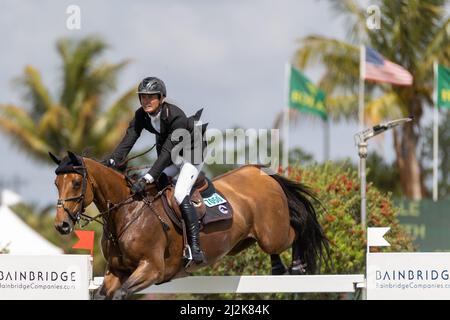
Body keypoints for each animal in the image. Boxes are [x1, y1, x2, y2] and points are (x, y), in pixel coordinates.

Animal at [51, 151, 328, 298]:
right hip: (247, 240)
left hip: (273, 233)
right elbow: (102, 293)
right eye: (56, 183)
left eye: (76, 182)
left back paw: (298, 265)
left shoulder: (152, 269)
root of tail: (261, 173)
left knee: (298, 227)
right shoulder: (116, 271)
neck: (128, 213)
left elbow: (122, 293)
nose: (62, 225)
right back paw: (278, 268)